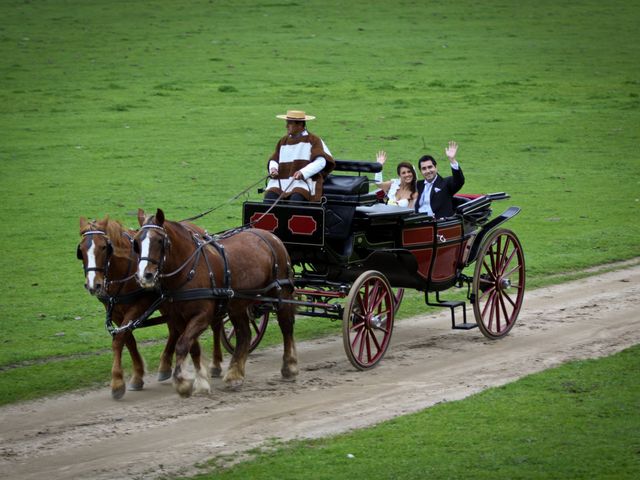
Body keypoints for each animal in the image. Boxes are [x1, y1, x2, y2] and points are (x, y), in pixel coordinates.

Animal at [134, 208, 298, 396]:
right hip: (237, 304)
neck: (189, 270)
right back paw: (235, 374)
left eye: (160, 241)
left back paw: (289, 366)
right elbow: (192, 347)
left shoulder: (203, 316)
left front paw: (182, 382)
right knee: (244, 334)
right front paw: (201, 381)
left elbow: (182, 345)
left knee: (286, 326)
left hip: (280, 293)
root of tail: (272, 237)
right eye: (136, 242)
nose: (144, 275)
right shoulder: (178, 318)